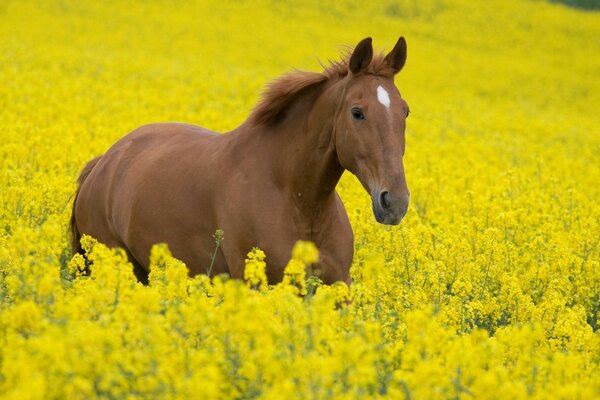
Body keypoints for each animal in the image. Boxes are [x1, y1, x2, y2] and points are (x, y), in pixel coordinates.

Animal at [69, 36, 408, 284]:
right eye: (357, 112)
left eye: (405, 111)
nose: (395, 202)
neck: (298, 201)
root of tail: (103, 162)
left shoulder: (338, 286)